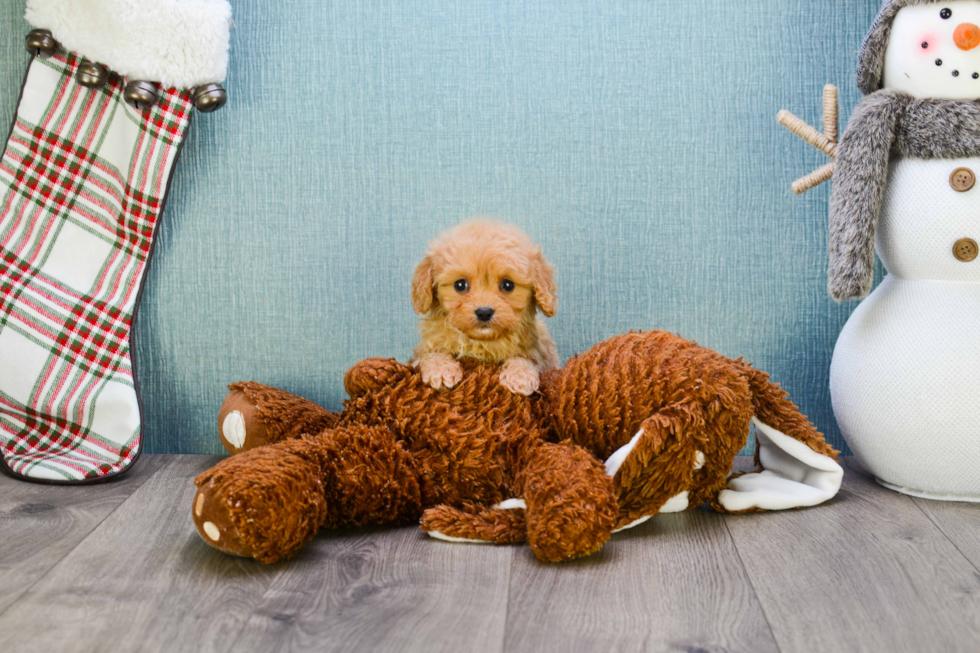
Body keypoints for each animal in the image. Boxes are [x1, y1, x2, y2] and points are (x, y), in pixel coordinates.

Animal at [408, 219, 560, 394]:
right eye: (460, 285)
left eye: (507, 285)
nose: (484, 312)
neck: (480, 342)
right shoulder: (423, 350)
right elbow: (432, 354)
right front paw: (441, 370)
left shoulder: (538, 353)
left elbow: (524, 358)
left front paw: (520, 376)